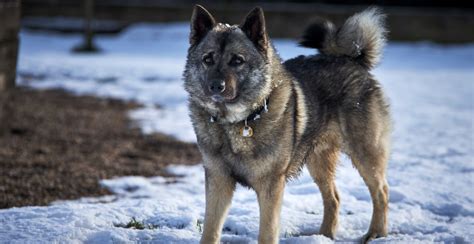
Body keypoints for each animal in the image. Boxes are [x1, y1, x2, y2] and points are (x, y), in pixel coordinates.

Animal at [183, 4, 390, 243]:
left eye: (237, 60)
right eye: (208, 59)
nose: (216, 86)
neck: (237, 123)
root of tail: (351, 59)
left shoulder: (271, 186)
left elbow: (267, 232)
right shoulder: (218, 180)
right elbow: (210, 228)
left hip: (365, 154)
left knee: (381, 192)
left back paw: (376, 233)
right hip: (318, 161)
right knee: (334, 198)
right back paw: (324, 235)